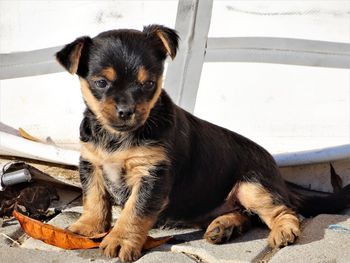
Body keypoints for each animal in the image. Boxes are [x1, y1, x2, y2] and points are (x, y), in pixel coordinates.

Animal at [56, 24, 350, 262]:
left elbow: (134, 212)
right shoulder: (91, 164)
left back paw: (283, 231)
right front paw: (87, 228)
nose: (126, 111)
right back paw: (224, 227)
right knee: (246, 215)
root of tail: (278, 175)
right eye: (101, 83)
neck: (117, 137)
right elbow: (94, 198)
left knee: (284, 210)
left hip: (253, 185)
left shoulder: (152, 176)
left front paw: (119, 240)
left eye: (148, 84)